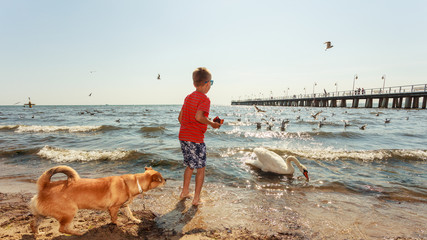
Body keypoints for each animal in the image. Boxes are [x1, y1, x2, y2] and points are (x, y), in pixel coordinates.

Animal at [29, 166, 166, 235]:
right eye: (160, 179)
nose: (166, 180)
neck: (134, 182)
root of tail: (45, 186)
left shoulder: (124, 206)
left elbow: (130, 214)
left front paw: (135, 220)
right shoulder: (114, 208)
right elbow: (114, 218)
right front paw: (118, 224)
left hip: (42, 214)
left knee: (33, 223)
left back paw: (38, 234)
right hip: (69, 212)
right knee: (62, 229)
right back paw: (78, 233)